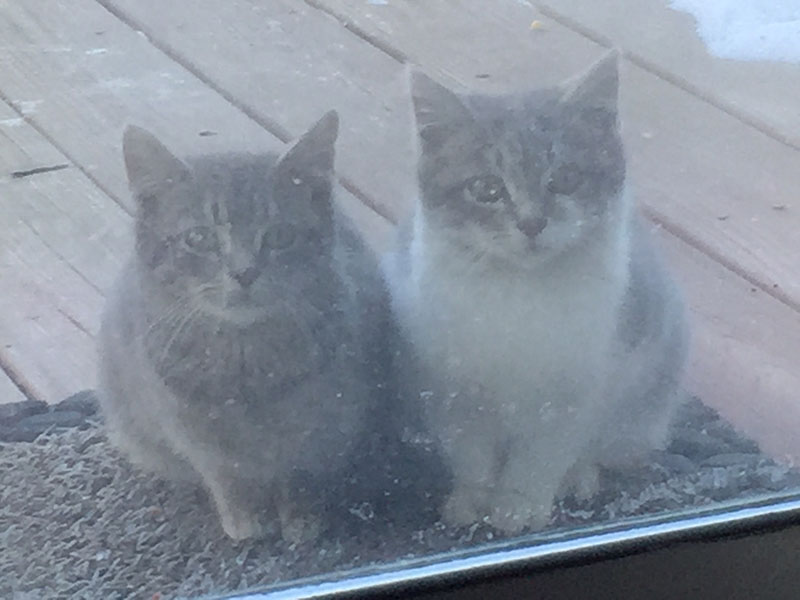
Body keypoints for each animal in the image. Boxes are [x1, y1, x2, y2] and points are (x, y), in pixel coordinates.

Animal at [98, 112, 389, 542]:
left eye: (281, 235)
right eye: (198, 237)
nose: (245, 272)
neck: (247, 367)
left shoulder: (324, 425)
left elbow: (301, 471)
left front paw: (300, 516)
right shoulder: (196, 434)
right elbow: (227, 476)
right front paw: (244, 517)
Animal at [383, 51, 689, 534]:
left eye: (565, 178)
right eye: (486, 187)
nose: (531, 223)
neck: (518, 296)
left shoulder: (575, 393)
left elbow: (542, 458)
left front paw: (518, 506)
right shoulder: (452, 391)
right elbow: (471, 454)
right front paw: (472, 501)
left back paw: (580, 476)